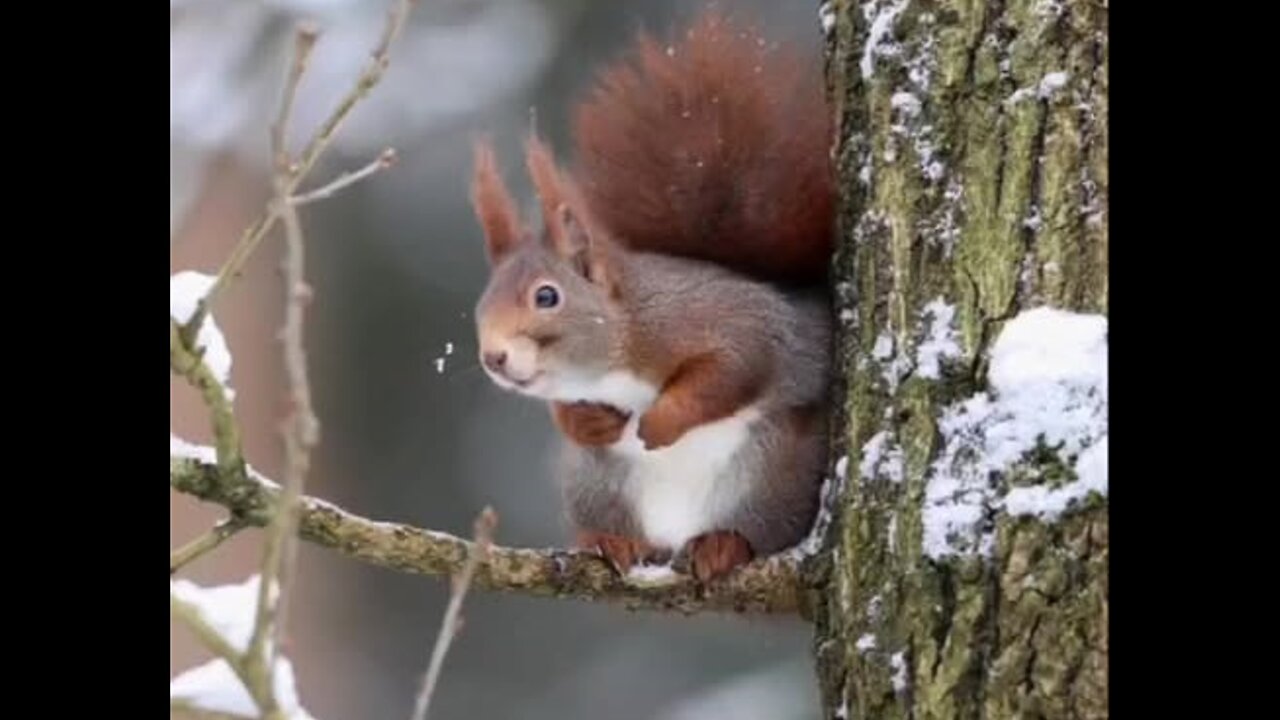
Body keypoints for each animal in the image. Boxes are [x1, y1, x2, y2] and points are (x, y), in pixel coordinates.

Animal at [465, 9, 834, 584]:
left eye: (547, 297)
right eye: (482, 306)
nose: (494, 357)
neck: (617, 352)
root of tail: (674, 534)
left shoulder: (726, 320)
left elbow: (731, 369)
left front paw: (660, 420)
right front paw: (588, 421)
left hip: (773, 475)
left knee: (759, 534)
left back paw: (723, 545)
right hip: (595, 485)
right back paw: (609, 542)